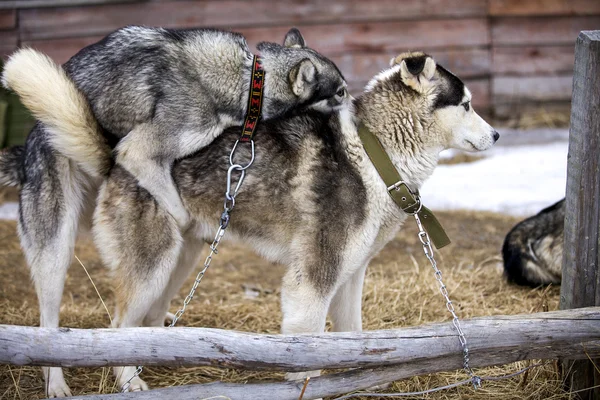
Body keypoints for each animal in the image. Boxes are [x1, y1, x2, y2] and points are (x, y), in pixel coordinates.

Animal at [0, 48, 496, 396]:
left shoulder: (351, 273)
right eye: (467, 104)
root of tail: (116, 155)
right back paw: (109, 381)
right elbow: (308, 345)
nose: (496, 135)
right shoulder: (313, 278)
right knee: (108, 325)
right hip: (130, 260)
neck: (375, 153)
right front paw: (309, 384)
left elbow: (352, 337)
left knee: (147, 322)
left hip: (180, 260)